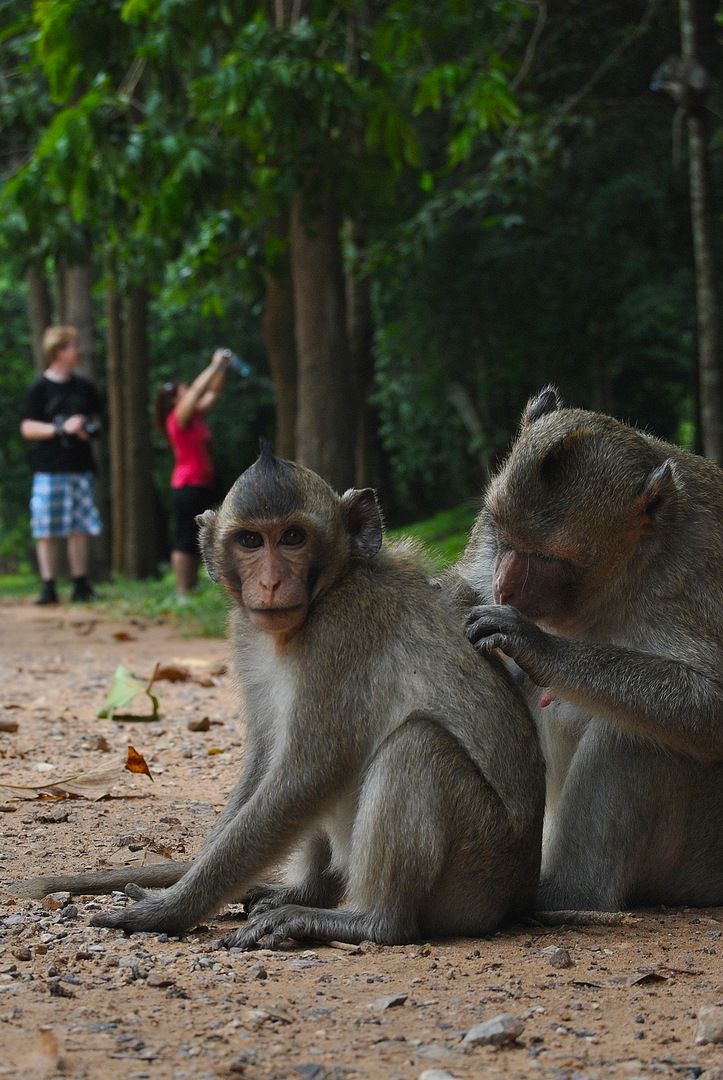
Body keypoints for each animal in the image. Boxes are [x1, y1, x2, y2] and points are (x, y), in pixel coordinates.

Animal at [18, 442, 540, 950]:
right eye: (251, 541)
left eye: (293, 537)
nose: (269, 582)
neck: (328, 591)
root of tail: (516, 895)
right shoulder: (245, 633)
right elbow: (268, 758)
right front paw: (182, 887)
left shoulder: (341, 631)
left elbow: (309, 773)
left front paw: (170, 908)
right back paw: (305, 893)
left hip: (477, 872)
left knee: (417, 746)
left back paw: (368, 920)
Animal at [453, 388, 721, 911]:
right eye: (501, 532)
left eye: (552, 559)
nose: (503, 585)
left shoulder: (697, 570)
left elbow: (711, 704)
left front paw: (537, 646)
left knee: (642, 732)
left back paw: (566, 890)